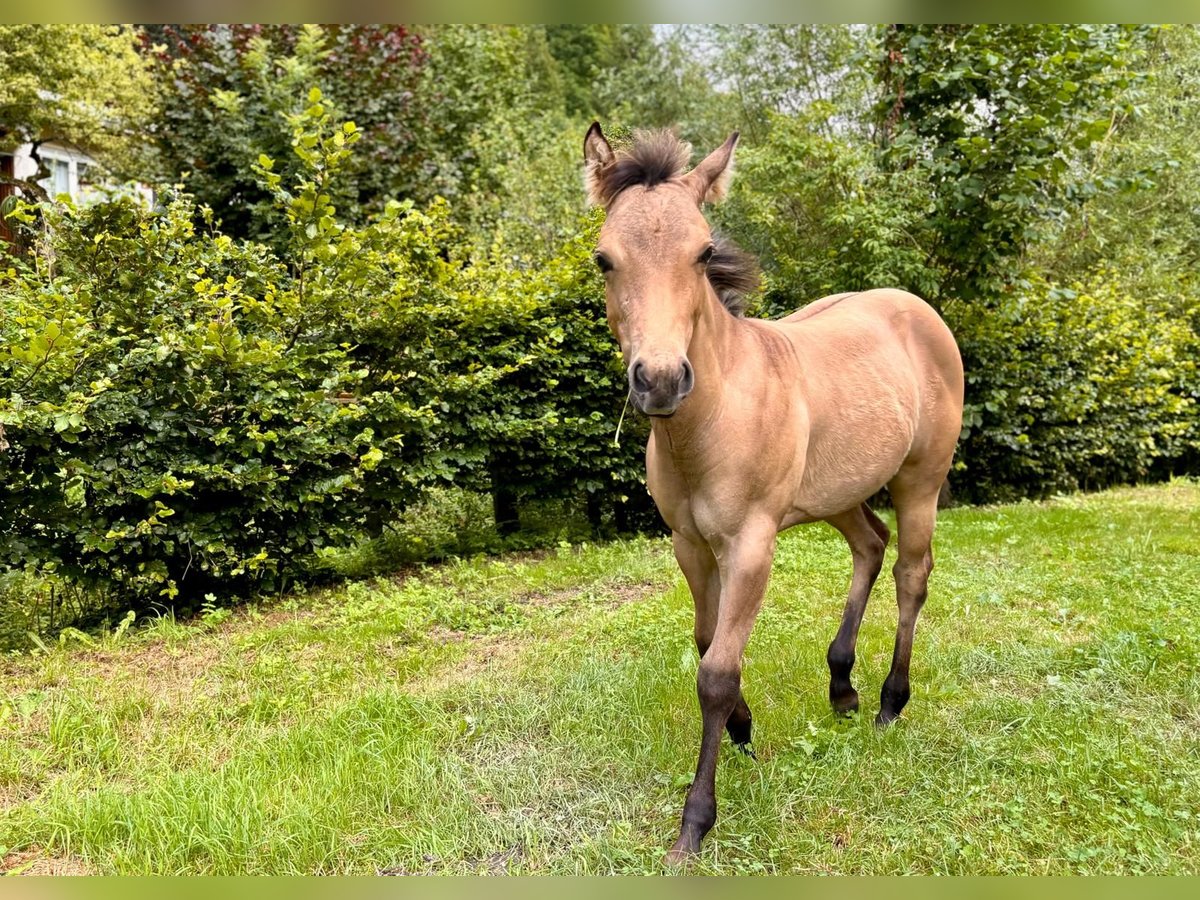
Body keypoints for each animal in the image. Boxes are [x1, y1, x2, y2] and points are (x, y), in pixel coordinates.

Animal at [580, 123, 964, 864]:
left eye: (703, 252)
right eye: (603, 259)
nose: (661, 380)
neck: (710, 423)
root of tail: (916, 308)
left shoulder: (752, 545)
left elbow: (716, 672)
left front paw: (696, 822)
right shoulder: (690, 545)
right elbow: (707, 642)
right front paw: (743, 726)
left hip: (920, 482)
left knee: (911, 573)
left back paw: (889, 701)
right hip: (837, 493)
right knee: (870, 545)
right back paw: (841, 685)